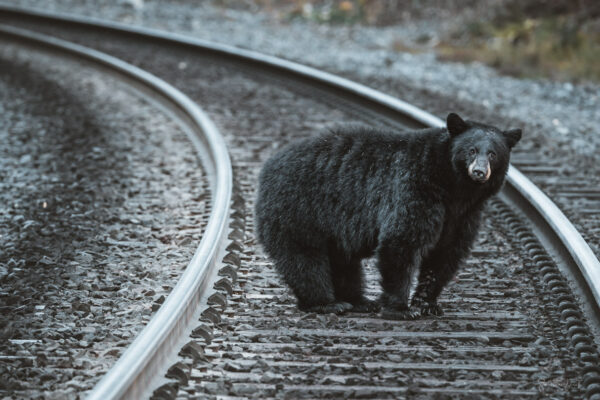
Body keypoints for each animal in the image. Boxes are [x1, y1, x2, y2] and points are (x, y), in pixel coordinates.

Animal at [254, 113, 520, 318]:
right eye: (471, 150)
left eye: (493, 153)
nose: (479, 171)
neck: (453, 187)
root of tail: (268, 166)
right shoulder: (414, 187)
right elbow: (402, 240)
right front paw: (402, 308)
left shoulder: (463, 216)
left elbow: (445, 254)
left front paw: (427, 304)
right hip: (299, 209)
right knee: (305, 259)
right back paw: (327, 303)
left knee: (343, 262)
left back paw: (360, 301)